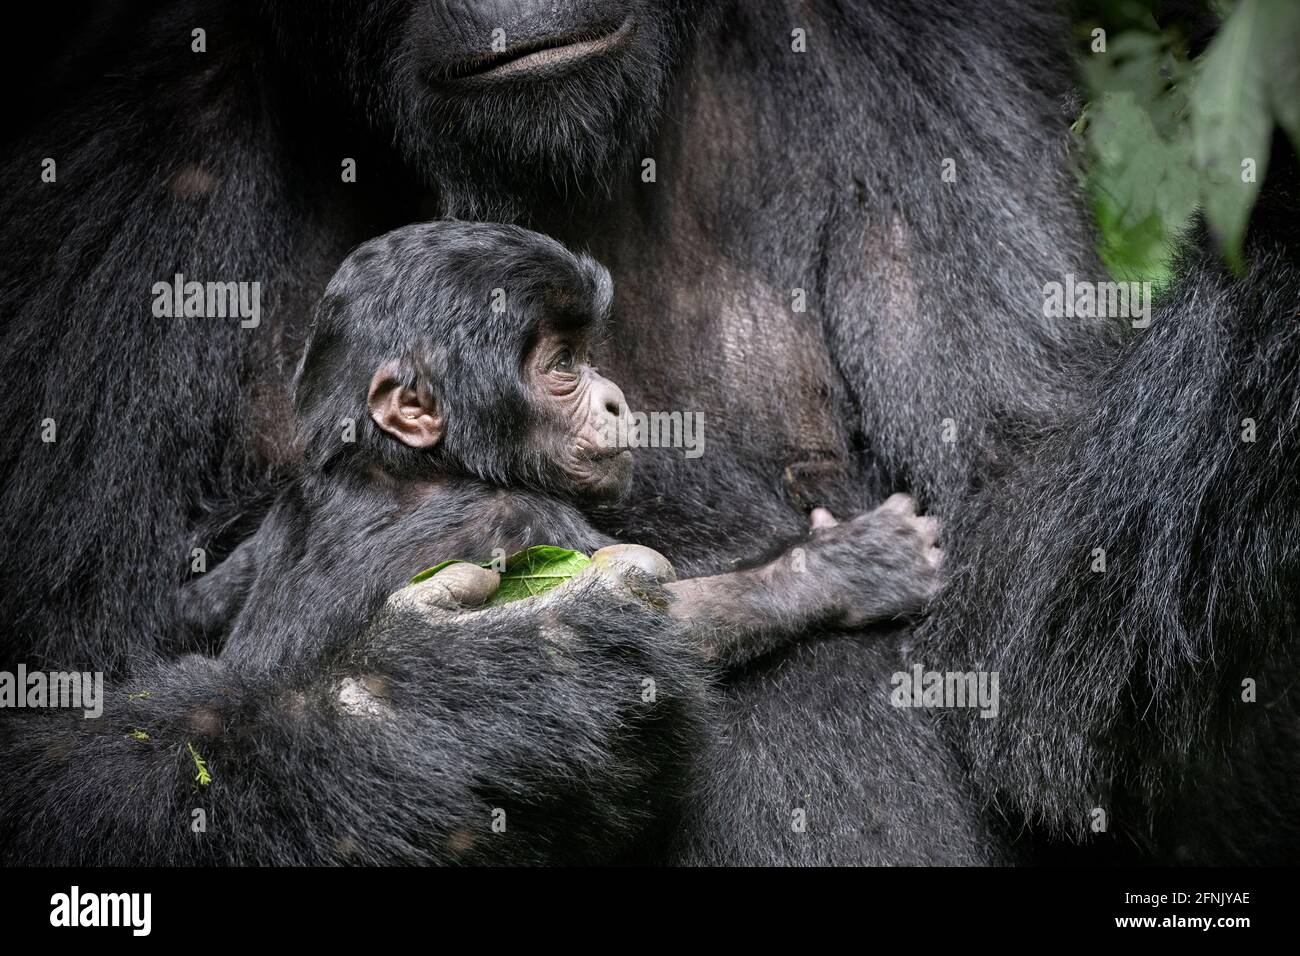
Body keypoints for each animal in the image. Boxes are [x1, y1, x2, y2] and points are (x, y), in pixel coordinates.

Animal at [188, 223, 941, 671]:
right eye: (561, 365)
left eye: (586, 353)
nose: (612, 396)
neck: (398, 468)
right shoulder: (519, 521)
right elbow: (639, 625)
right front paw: (847, 567)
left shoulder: (288, 508)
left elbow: (199, 599)